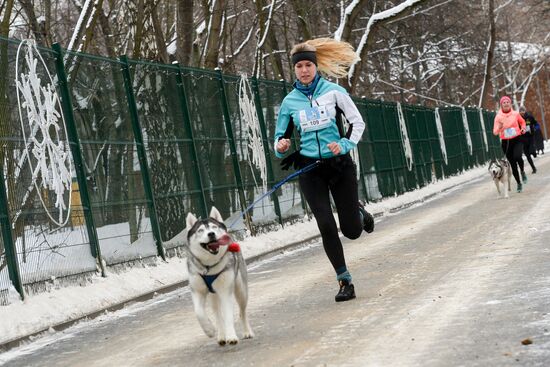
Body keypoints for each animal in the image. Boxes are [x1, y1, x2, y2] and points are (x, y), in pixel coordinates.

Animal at [185, 208, 254, 346]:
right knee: (217, 314)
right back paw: (221, 335)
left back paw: (247, 332)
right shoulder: (197, 291)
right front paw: (209, 330)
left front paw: (231, 336)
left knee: (242, 312)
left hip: (241, 290)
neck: (209, 267)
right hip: (213, 296)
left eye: (214, 227)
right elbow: (199, 312)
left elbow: (228, 316)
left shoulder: (225, 290)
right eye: (200, 230)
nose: (211, 234)